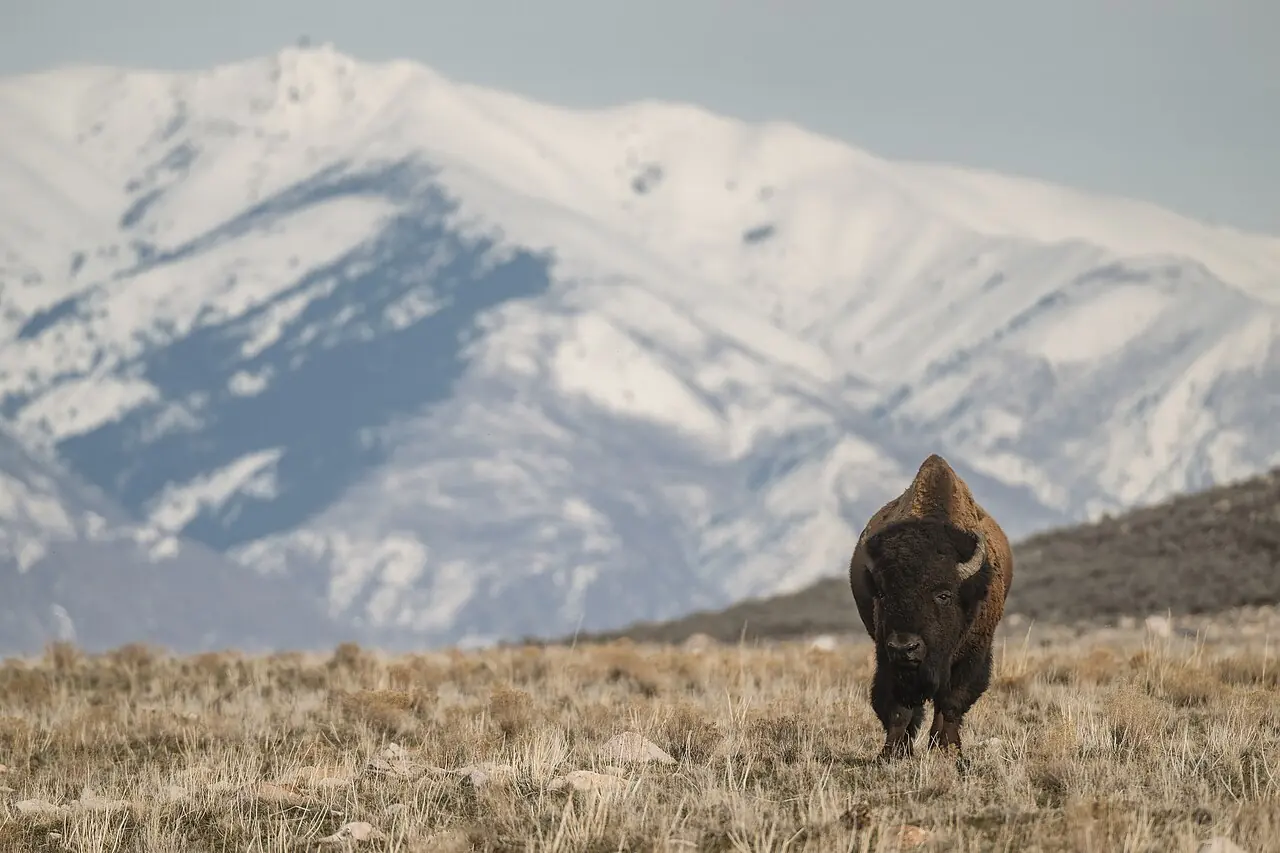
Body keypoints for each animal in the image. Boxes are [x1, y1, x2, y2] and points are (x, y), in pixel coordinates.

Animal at [847, 454, 1014, 759]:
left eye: (943, 595)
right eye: (883, 594)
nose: (905, 647)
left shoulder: (972, 656)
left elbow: (951, 703)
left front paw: (948, 749)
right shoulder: (887, 658)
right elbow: (898, 708)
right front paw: (893, 752)